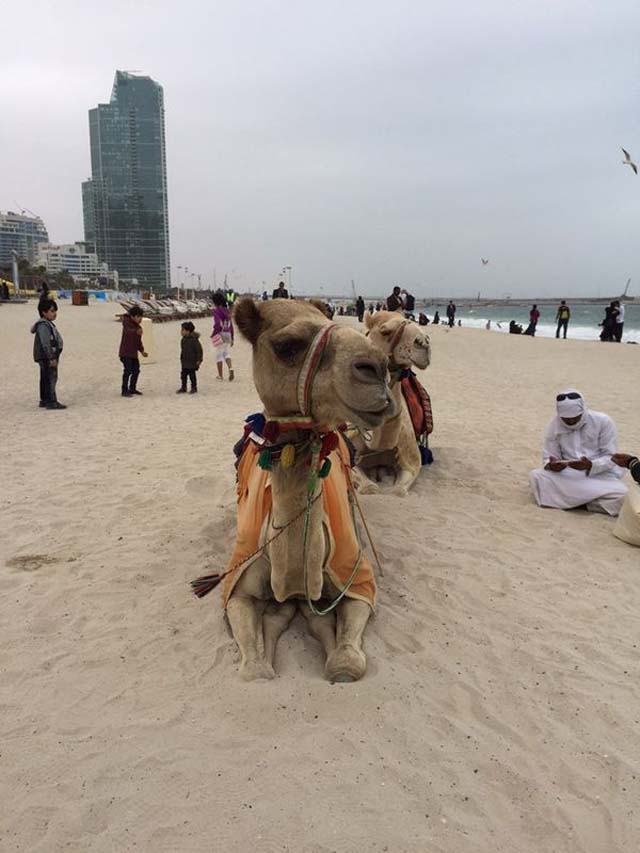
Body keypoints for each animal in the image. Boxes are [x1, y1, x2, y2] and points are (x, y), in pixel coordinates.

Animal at [216, 296, 396, 684]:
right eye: (287, 346)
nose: (377, 367)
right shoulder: (236, 586)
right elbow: (255, 670)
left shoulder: (357, 577)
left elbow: (347, 663)